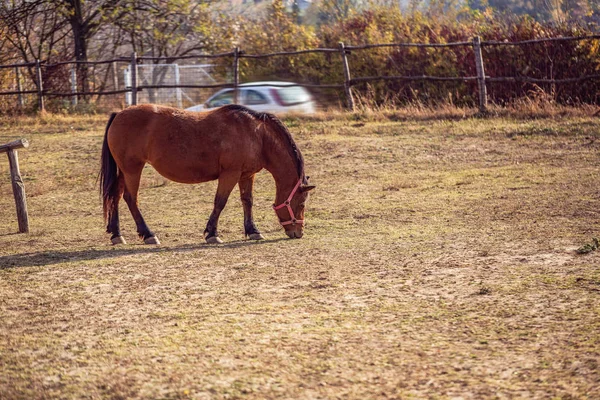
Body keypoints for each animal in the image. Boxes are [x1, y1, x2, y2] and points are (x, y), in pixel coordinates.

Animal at [98, 104, 314, 244]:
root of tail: (119, 114)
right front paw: (212, 233)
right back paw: (148, 234)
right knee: (130, 198)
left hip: (124, 170)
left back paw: (116, 234)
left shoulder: (246, 175)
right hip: (132, 169)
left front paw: (253, 230)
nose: (298, 232)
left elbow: (247, 201)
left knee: (115, 196)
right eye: (302, 203)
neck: (257, 135)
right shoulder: (230, 174)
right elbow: (220, 202)